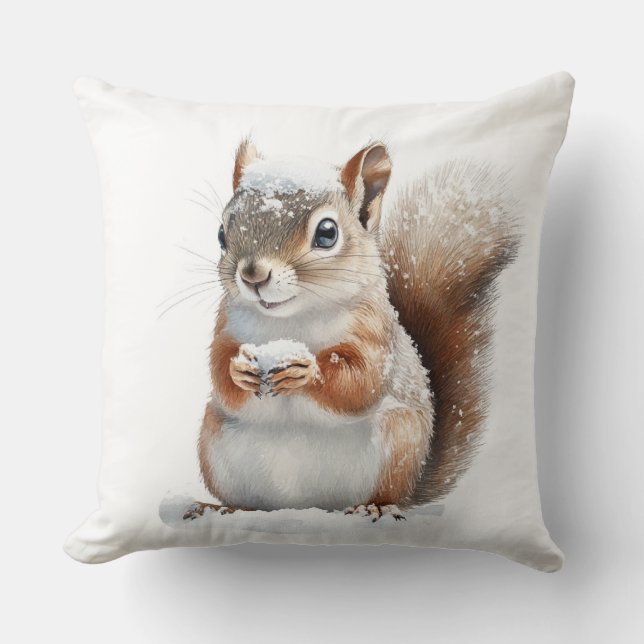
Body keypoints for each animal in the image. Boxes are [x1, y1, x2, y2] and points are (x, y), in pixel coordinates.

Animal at [185, 139, 519, 521]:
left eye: (327, 233)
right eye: (221, 233)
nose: (253, 275)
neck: (290, 320)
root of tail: (304, 505)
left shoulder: (374, 331)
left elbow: (360, 380)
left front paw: (307, 370)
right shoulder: (226, 324)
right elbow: (219, 369)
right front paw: (238, 371)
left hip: (398, 439)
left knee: (388, 490)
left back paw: (375, 507)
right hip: (215, 439)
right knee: (248, 499)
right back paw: (224, 508)